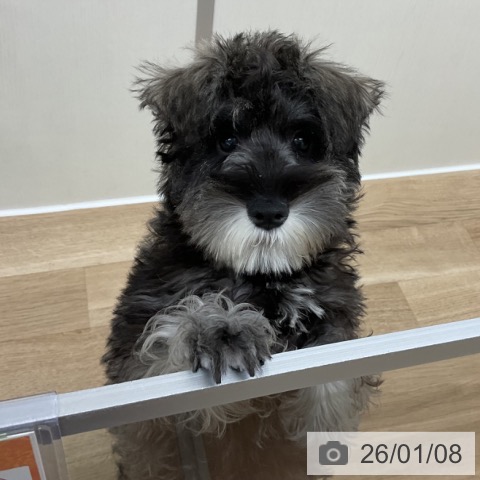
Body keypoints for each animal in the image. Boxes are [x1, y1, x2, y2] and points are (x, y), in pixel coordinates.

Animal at [102, 31, 384, 479]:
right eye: (227, 140)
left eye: (302, 140)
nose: (269, 210)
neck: (262, 278)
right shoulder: (136, 376)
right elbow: (165, 352)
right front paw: (219, 328)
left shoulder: (336, 318)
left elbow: (333, 378)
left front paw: (319, 433)